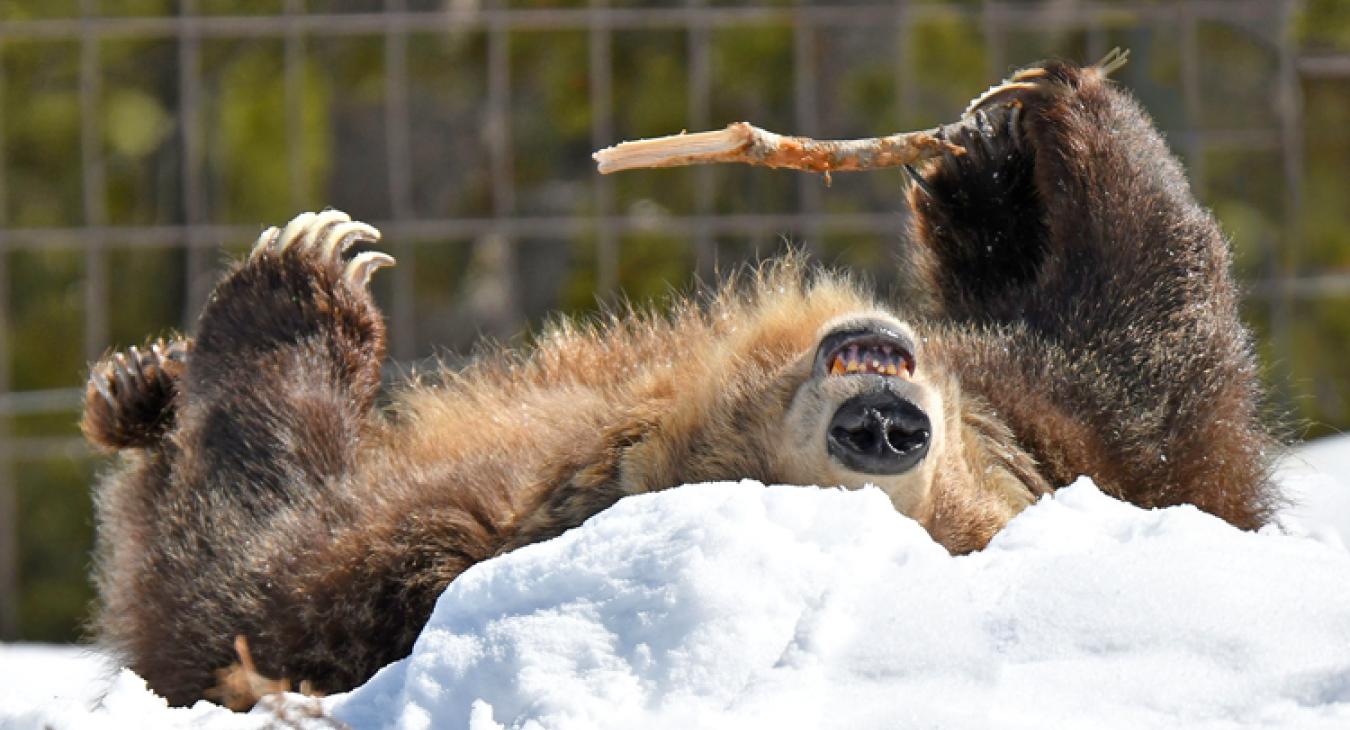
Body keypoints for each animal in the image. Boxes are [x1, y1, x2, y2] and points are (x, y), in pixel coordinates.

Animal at [81, 58, 1274, 707]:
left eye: (931, 512)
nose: (885, 429)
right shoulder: (1063, 423)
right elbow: (1157, 369)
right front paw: (993, 147)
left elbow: (235, 581)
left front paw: (303, 277)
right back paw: (138, 383)